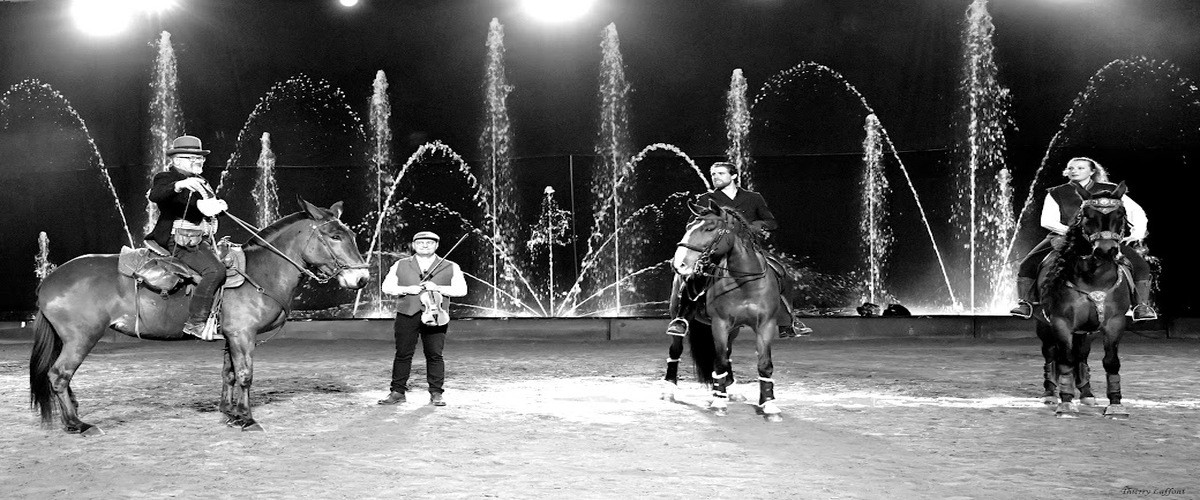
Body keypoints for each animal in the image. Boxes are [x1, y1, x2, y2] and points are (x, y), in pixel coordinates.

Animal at [29, 198, 370, 435]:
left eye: (350, 234)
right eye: (334, 236)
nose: (362, 279)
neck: (260, 272)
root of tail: (49, 280)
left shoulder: (231, 335)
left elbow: (229, 373)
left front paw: (230, 412)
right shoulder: (243, 335)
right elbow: (245, 374)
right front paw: (247, 419)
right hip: (81, 337)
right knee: (59, 375)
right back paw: (77, 424)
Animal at [662, 200, 784, 422]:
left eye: (710, 228)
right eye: (688, 227)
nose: (678, 264)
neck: (745, 282)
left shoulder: (765, 325)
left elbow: (764, 364)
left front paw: (769, 405)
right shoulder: (720, 324)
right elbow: (718, 362)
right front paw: (719, 402)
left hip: (733, 331)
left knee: (727, 355)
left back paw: (730, 390)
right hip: (679, 316)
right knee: (676, 350)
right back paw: (669, 389)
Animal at [1033, 183, 1132, 419]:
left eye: (1121, 214)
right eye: (1087, 216)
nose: (1106, 250)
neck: (1094, 278)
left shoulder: (1115, 323)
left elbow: (1111, 362)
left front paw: (1116, 405)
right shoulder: (1061, 322)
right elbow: (1065, 360)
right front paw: (1066, 402)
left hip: (1086, 332)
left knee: (1082, 356)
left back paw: (1087, 393)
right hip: (1044, 326)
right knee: (1051, 354)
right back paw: (1050, 393)